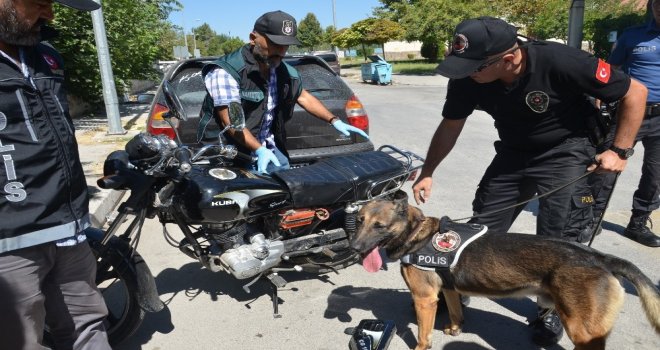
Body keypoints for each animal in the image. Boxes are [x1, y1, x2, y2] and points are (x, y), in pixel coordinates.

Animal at [350, 191, 660, 350]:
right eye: (360, 220)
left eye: (379, 226)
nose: (353, 247)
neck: (416, 234)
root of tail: (600, 257)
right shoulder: (448, 289)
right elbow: (456, 311)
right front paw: (455, 328)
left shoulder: (424, 300)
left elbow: (423, 337)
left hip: (582, 330)